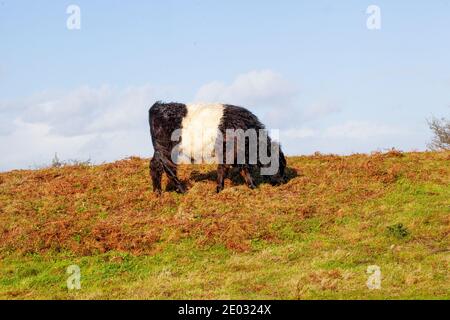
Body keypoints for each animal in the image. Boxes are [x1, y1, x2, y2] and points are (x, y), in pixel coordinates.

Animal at [149, 101, 286, 194]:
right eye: (278, 165)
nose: (282, 182)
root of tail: (158, 106)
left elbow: (243, 169)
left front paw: (252, 186)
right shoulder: (229, 151)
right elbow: (224, 169)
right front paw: (219, 189)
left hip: (160, 149)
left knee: (155, 165)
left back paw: (158, 192)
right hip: (167, 148)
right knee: (168, 167)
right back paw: (183, 190)